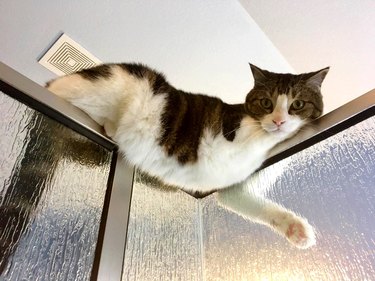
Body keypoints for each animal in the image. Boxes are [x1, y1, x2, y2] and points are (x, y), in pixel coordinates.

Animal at [46, 63, 328, 247]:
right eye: (267, 103)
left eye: (297, 104)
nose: (279, 120)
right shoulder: (232, 135)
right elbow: (265, 135)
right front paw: (287, 129)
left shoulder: (235, 186)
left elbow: (246, 201)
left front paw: (297, 230)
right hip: (125, 80)